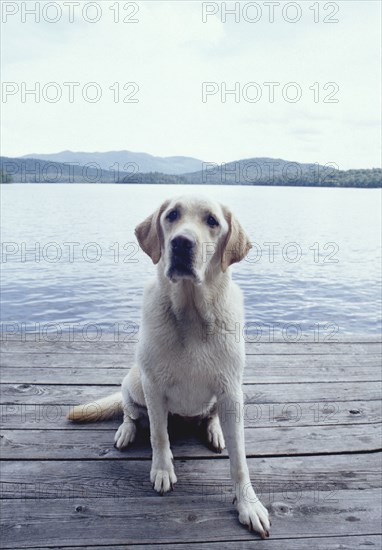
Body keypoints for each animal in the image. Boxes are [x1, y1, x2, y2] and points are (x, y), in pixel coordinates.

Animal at [69, 196, 272, 540]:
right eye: (172, 215)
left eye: (212, 221)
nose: (181, 243)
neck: (191, 313)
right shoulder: (153, 386)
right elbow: (158, 436)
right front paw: (162, 470)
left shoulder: (232, 391)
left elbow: (240, 460)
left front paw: (248, 504)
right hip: (134, 381)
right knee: (131, 412)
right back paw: (126, 430)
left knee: (210, 416)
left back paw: (215, 430)